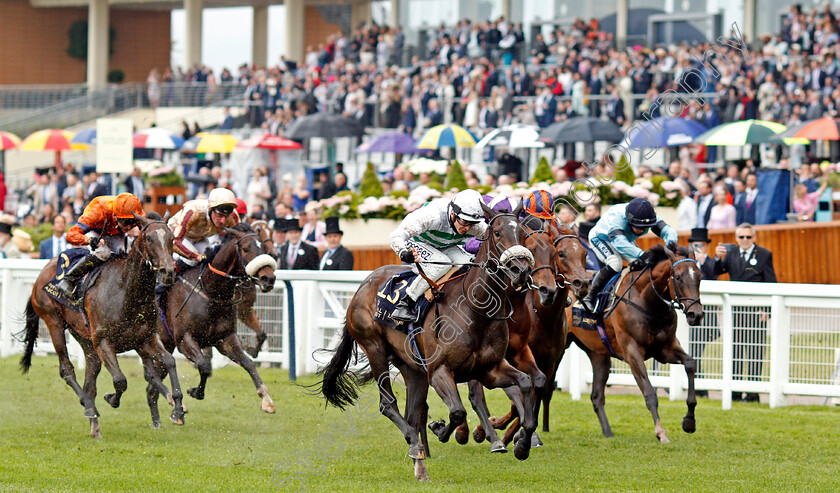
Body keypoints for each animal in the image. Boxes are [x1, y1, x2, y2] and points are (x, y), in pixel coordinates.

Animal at [19, 213, 180, 436]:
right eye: (149, 238)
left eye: (172, 238)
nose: (168, 272)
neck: (126, 292)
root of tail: (40, 276)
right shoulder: (104, 342)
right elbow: (120, 380)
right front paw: (111, 399)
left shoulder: (144, 339)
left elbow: (168, 362)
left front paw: (177, 407)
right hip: (54, 323)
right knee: (66, 369)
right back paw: (88, 406)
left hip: (85, 338)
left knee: (90, 379)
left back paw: (94, 423)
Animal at [155, 223, 278, 412]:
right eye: (245, 248)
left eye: (264, 248)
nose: (268, 278)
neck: (211, 291)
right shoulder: (184, 339)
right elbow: (204, 365)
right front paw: (195, 391)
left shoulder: (225, 338)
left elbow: (248, 363)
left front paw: (266, 399)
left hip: (165, 342)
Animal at [318, 203, 540, 480]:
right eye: (497, 232)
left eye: (523, 234)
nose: (521, 270)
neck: (476, 310)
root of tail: (362, 286)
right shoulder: (439, 371)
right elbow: (457, 412)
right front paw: (441, 428)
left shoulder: (489, 369)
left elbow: (525, 383)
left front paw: (522, 445)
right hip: (375, 348)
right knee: (388, 404)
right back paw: (415, 444)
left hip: (413, 369)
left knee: (414, 412)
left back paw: (419, 459)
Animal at [568, 244, 704, 440]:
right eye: (678, 277)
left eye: (699, 277)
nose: (696, 315)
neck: (648, 302)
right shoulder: (632, 352)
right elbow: (649, 393)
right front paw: (661, 433)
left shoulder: (664, 348)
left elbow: (690, 363)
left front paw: (689, 421)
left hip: (598, 354)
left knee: (596, 396)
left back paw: (608, 433)